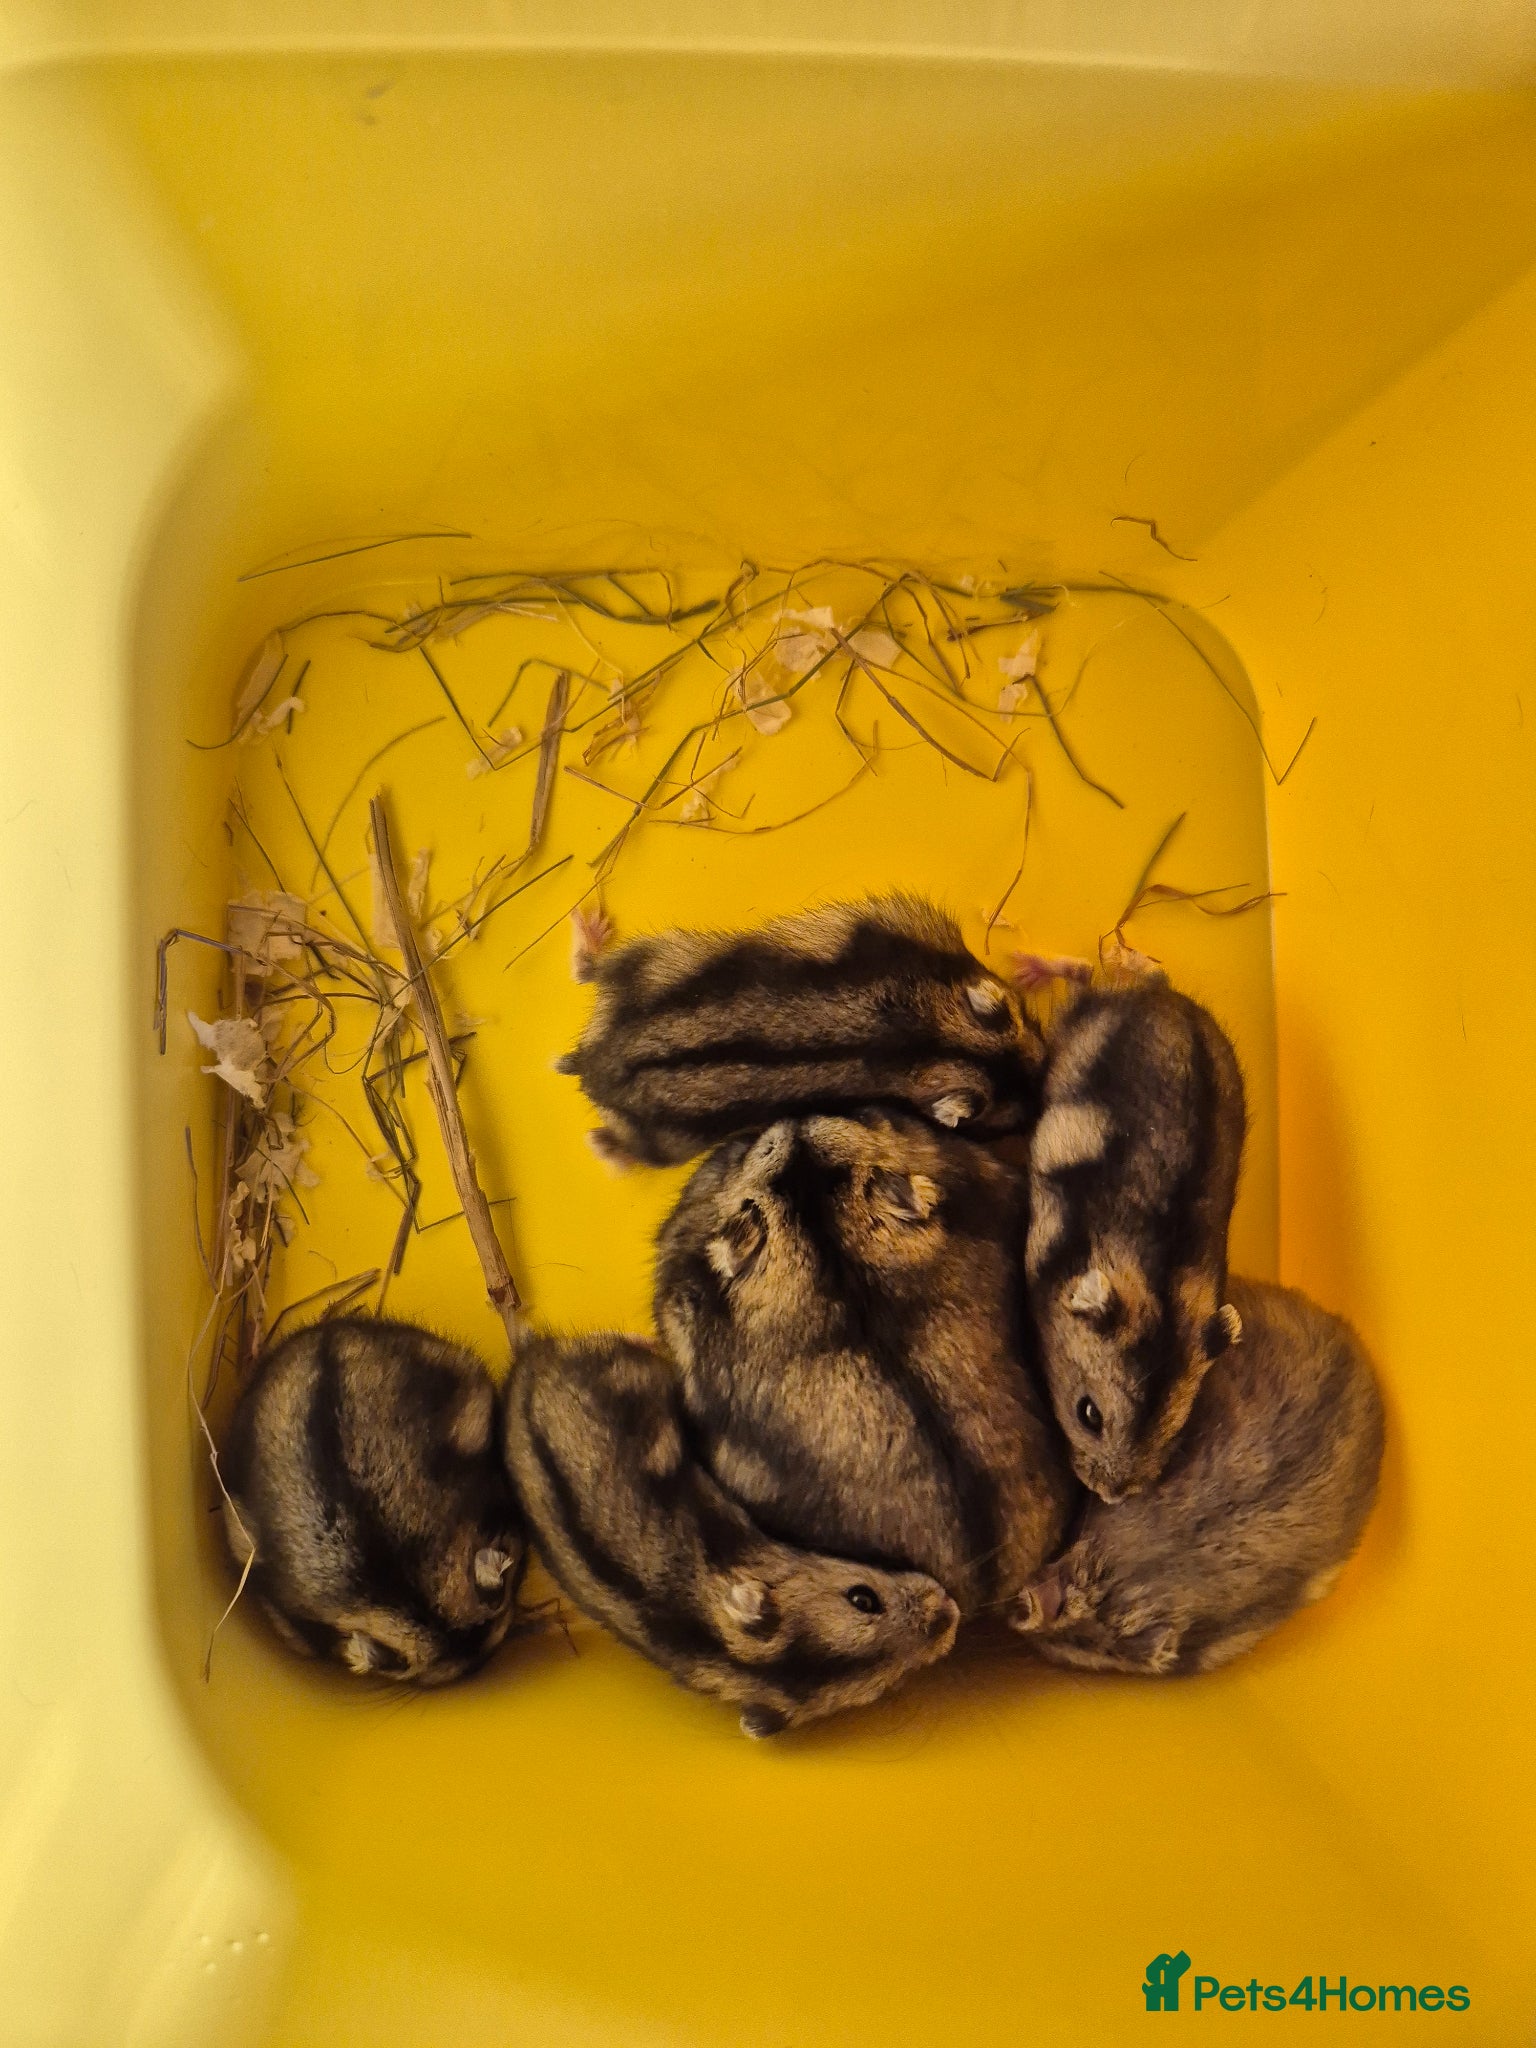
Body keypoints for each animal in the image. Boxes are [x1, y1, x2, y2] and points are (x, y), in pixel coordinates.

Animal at [556, 894, 1044, 1166]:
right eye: (1008, 1123)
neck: (929, 1043)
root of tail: (590, 1065)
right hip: (669, 1142)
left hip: (650, 962)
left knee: (591, 972)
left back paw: (588, 927)